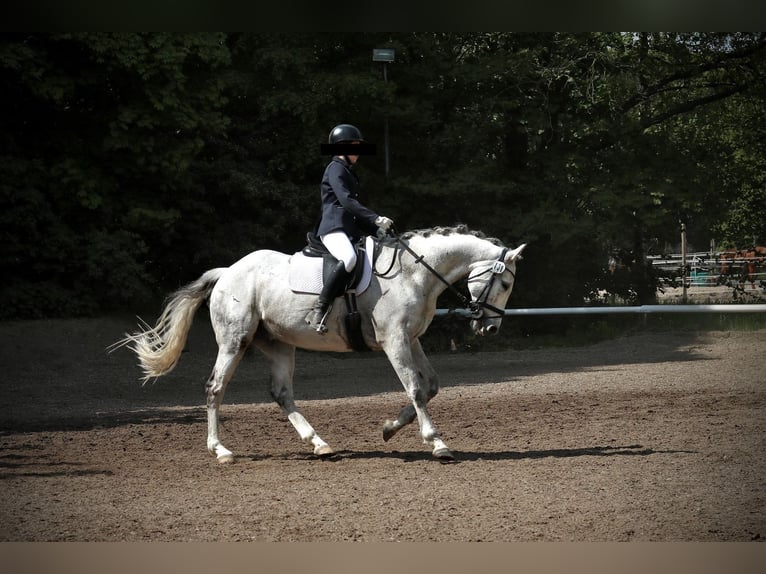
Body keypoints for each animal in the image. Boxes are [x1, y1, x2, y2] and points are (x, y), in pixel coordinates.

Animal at [115, 225, 528, 464]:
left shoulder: (410, 339)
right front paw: (436, 442)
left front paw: (389, 428)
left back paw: (318, 443)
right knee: (215, 388)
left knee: (281, 392)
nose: (490, 329)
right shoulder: (394, 340)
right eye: (506, 283)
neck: (414, 273)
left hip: (279, 344)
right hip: (235, 340)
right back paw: (221, 451)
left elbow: (431, 386)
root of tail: (227, 272)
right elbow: (415, 388)